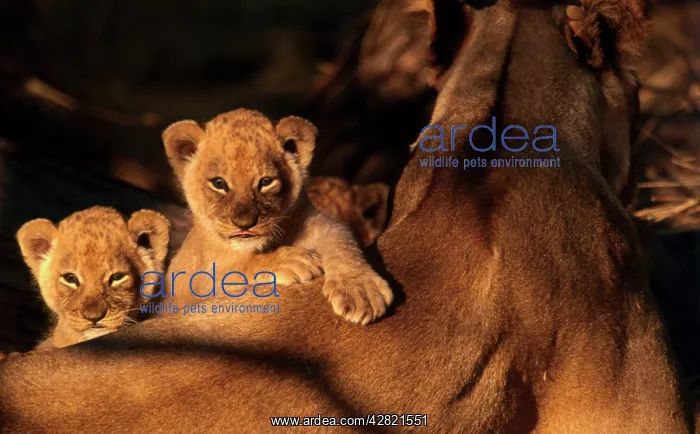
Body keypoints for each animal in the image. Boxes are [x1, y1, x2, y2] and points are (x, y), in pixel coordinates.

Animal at [160, 109, 393, 325]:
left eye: (266, 182)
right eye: (219, 183)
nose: (245, 223)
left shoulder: (317, 222)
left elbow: (342, 240)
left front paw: (360, 290)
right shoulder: (192, 284)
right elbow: (233, 270)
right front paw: (290, 261)